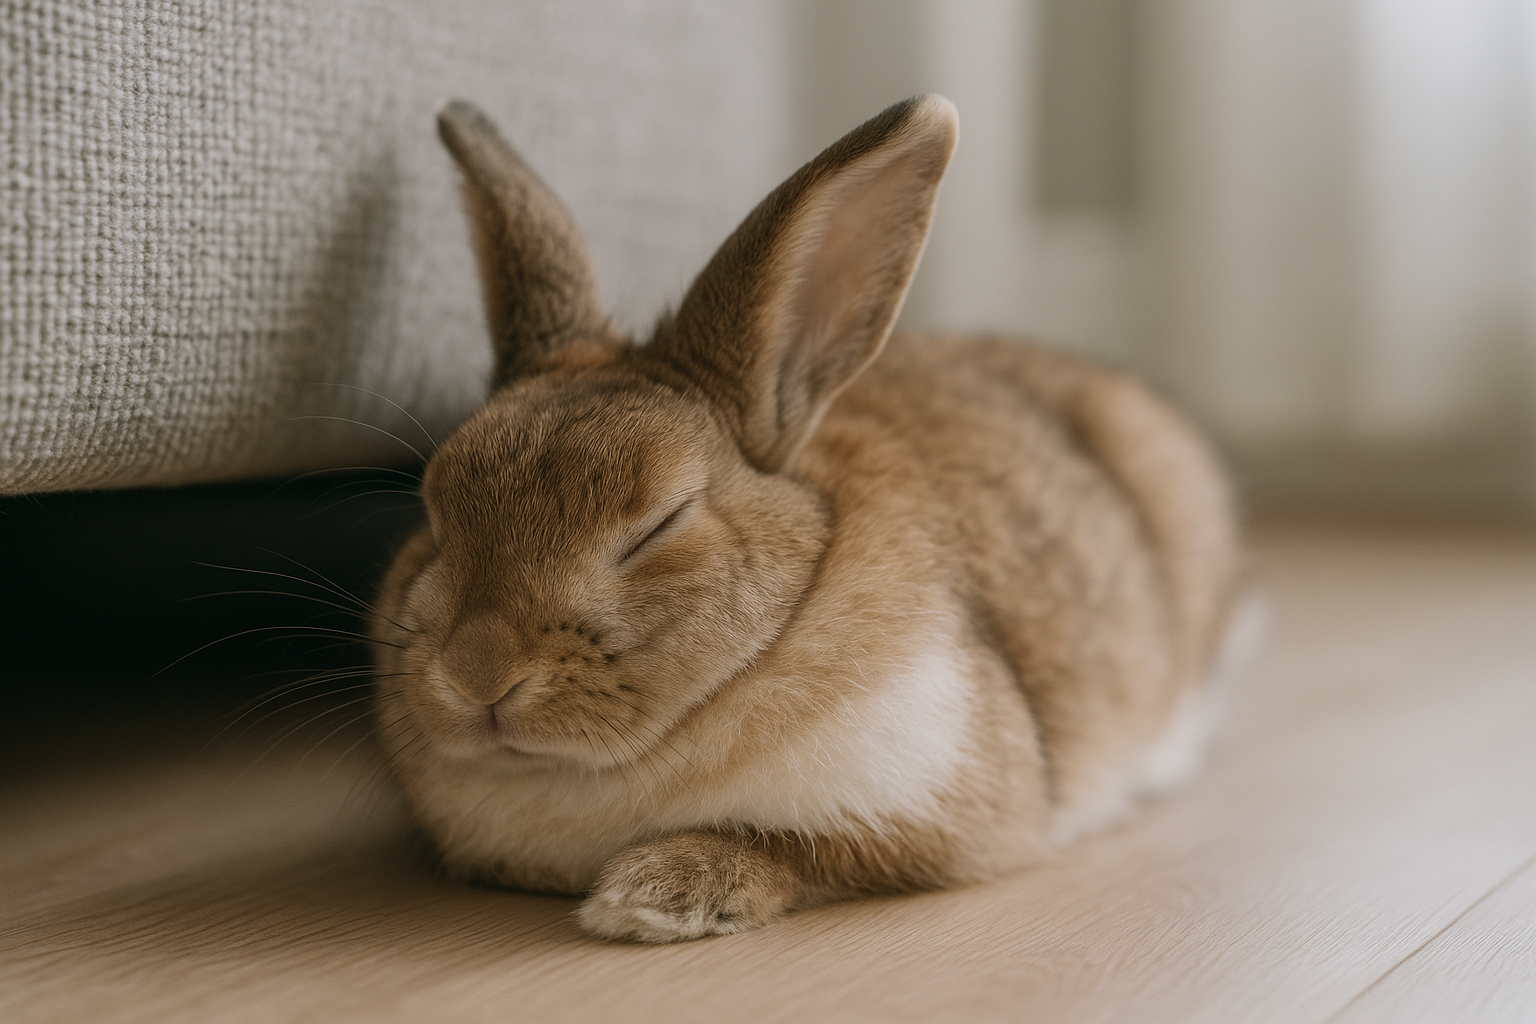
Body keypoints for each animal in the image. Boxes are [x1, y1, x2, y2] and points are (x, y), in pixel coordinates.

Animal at [371, 94, 1247, 944]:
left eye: (660, 525)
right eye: (434, 513)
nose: (476, 674)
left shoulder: (937, 808)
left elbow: (796, 847)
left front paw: (652, 896)